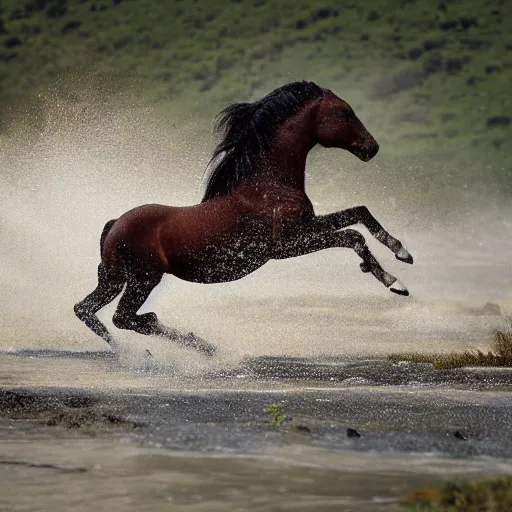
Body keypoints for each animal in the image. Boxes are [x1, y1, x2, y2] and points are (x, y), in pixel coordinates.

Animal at [74, 82, 414, 358]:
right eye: (344, 112)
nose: (372, 148)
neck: (268, 185)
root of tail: (114, 224)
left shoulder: (306, 226)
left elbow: (360, 213)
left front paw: (402, 253)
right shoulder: (287, 245)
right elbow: (353, 237)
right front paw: (394, 282)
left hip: (114, 279)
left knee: (86, 310)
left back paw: (142, 353)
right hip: (143, 279)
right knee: (123, 318)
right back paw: (192, 347)